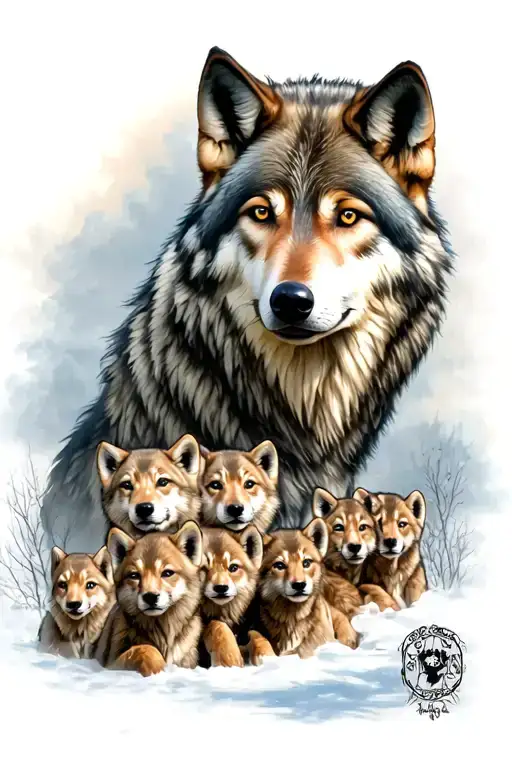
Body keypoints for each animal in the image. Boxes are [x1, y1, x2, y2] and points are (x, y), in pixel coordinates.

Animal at [95, 522, 203, 676]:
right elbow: (144, 648)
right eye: (134, 575)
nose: (150, 597)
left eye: (167, 573)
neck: (163, 637)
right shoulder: (110, 665)